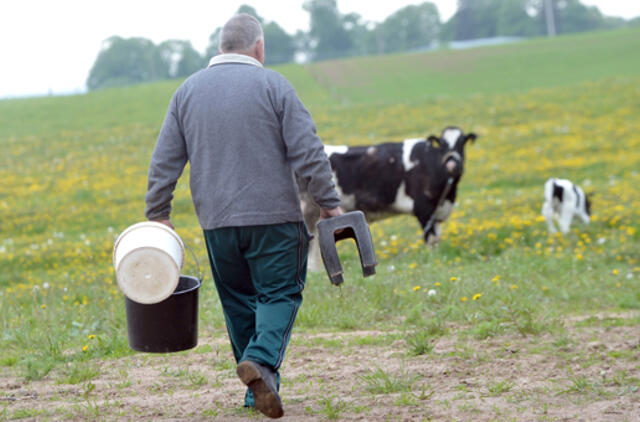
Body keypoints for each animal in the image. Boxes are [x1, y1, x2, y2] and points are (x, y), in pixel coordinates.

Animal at [300, 126, 476, 270]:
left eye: (462, 143)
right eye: (442, 145)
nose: (452, 165)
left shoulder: (436, 213)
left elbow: (437, 239)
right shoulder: (423, 209)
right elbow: (431, 240)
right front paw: (433, 260)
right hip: (307, 209)